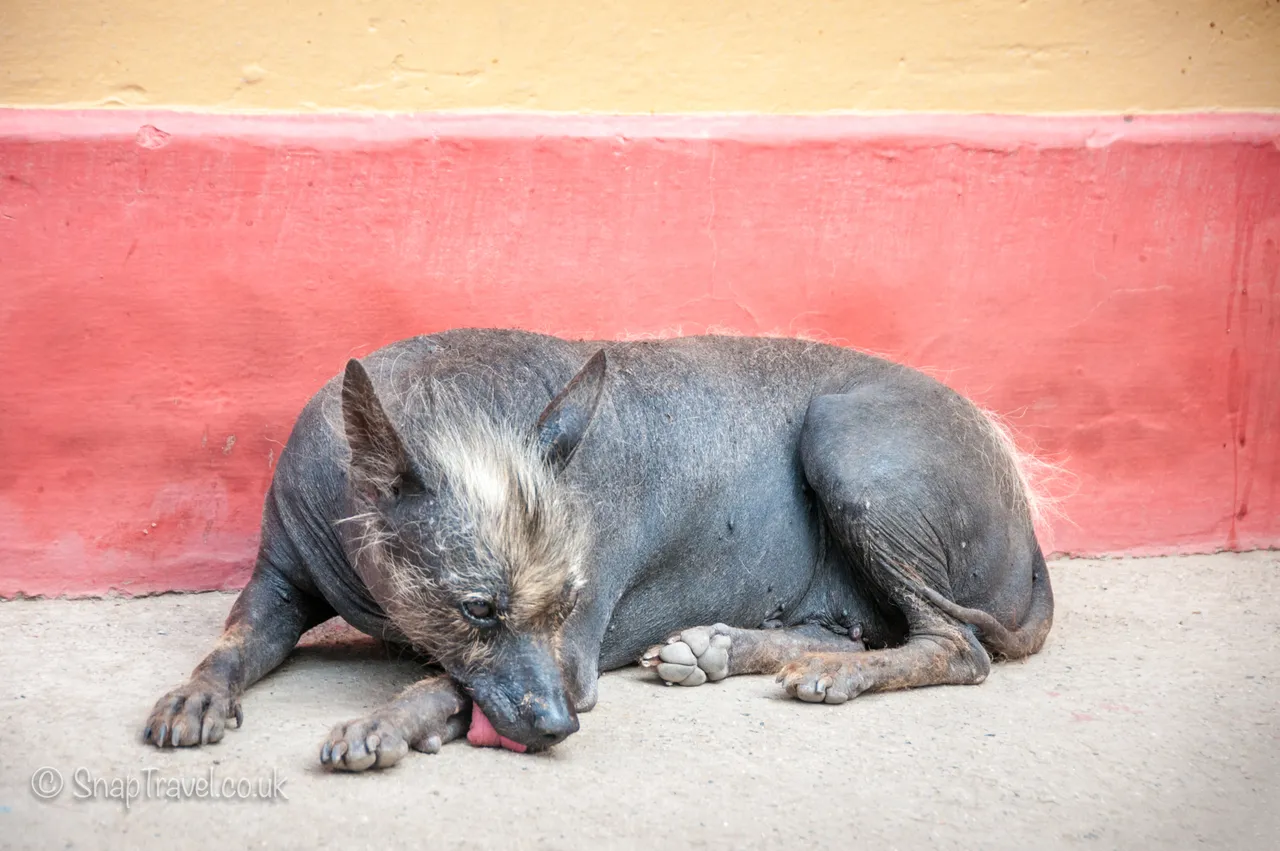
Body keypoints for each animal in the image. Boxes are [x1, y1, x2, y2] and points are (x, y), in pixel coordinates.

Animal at [143, 329, 1053, 770]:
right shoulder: (277, 581)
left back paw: (838, 673)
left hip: (851, 442)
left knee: (956, 644)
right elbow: (230, 642)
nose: (561, 723)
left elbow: (443, 680)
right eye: (478, 608)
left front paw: (388, 719)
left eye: (571, 602)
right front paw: (195, 694)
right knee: (860, 629)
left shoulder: (571, 658)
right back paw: (726, 646)